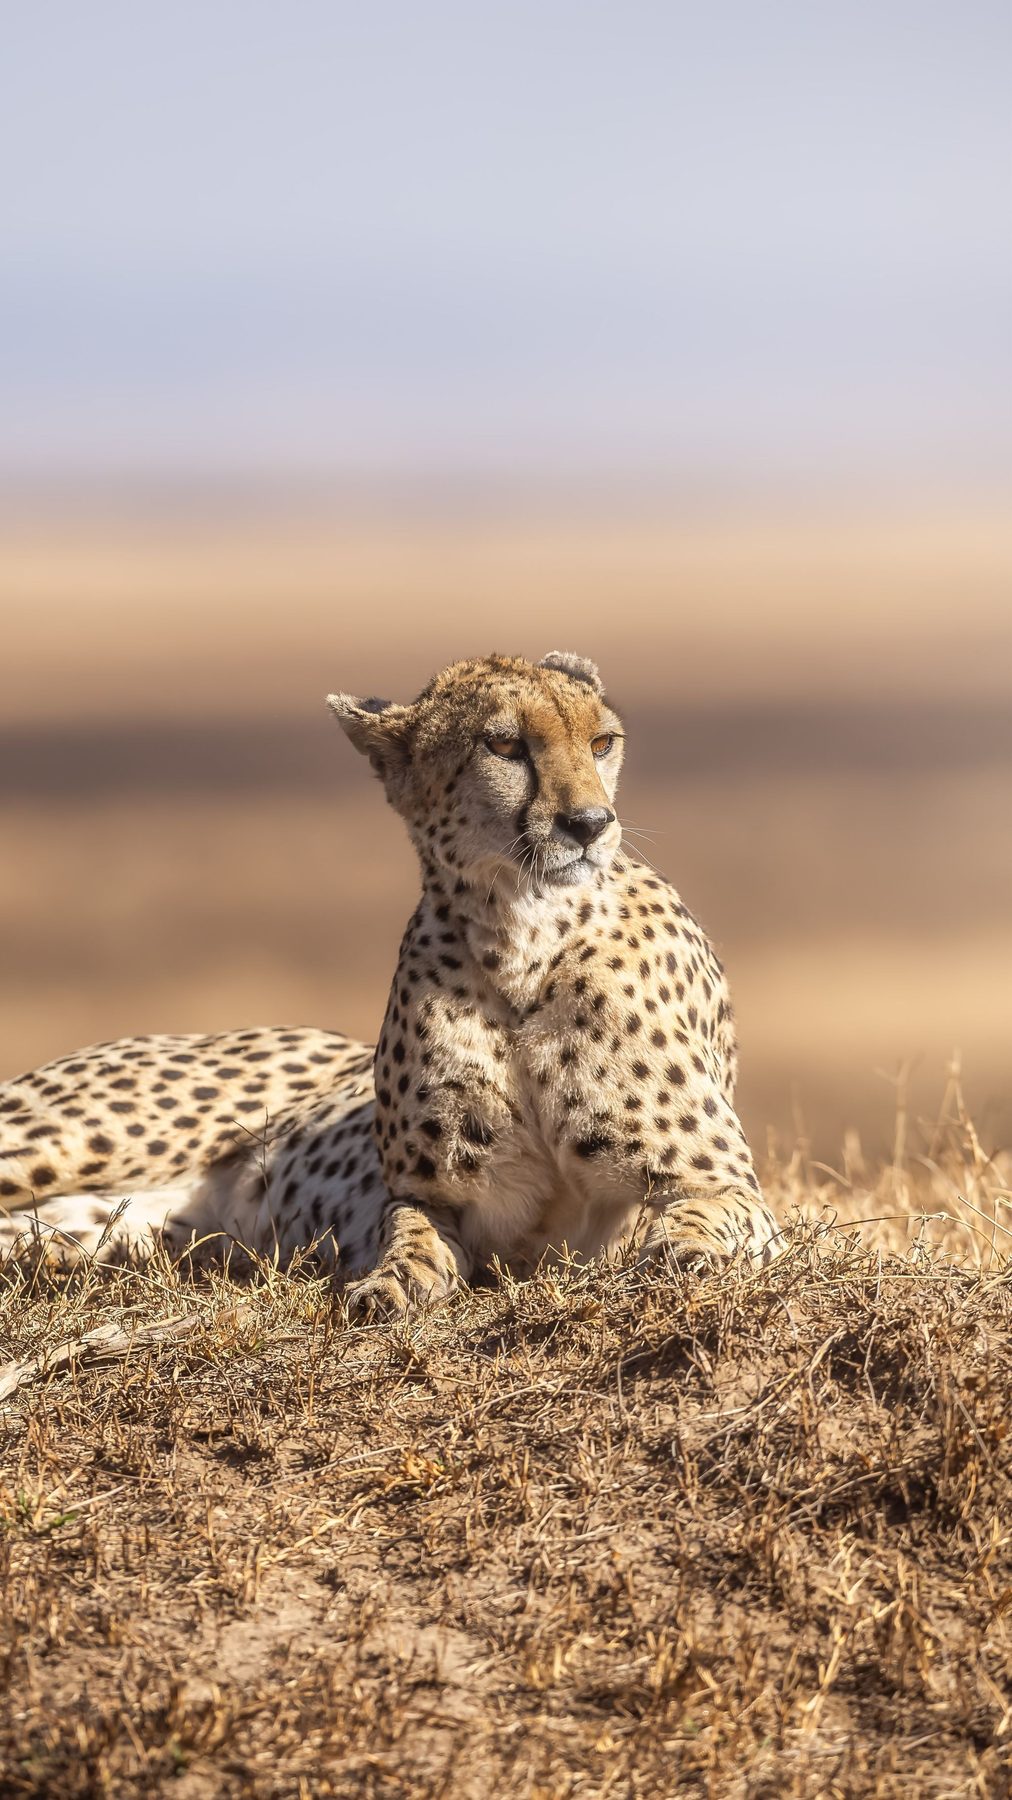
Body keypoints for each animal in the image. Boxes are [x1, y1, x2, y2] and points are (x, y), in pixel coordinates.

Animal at [0, 650, 780, 1312]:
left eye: (602, 743)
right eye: (504, 746)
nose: (589, 824)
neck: (522, 939)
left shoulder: (724, 1185)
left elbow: (699, 1219)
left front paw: (679, 1254)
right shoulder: (430, 1197)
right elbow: (410, 1237)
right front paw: (390, 1284)